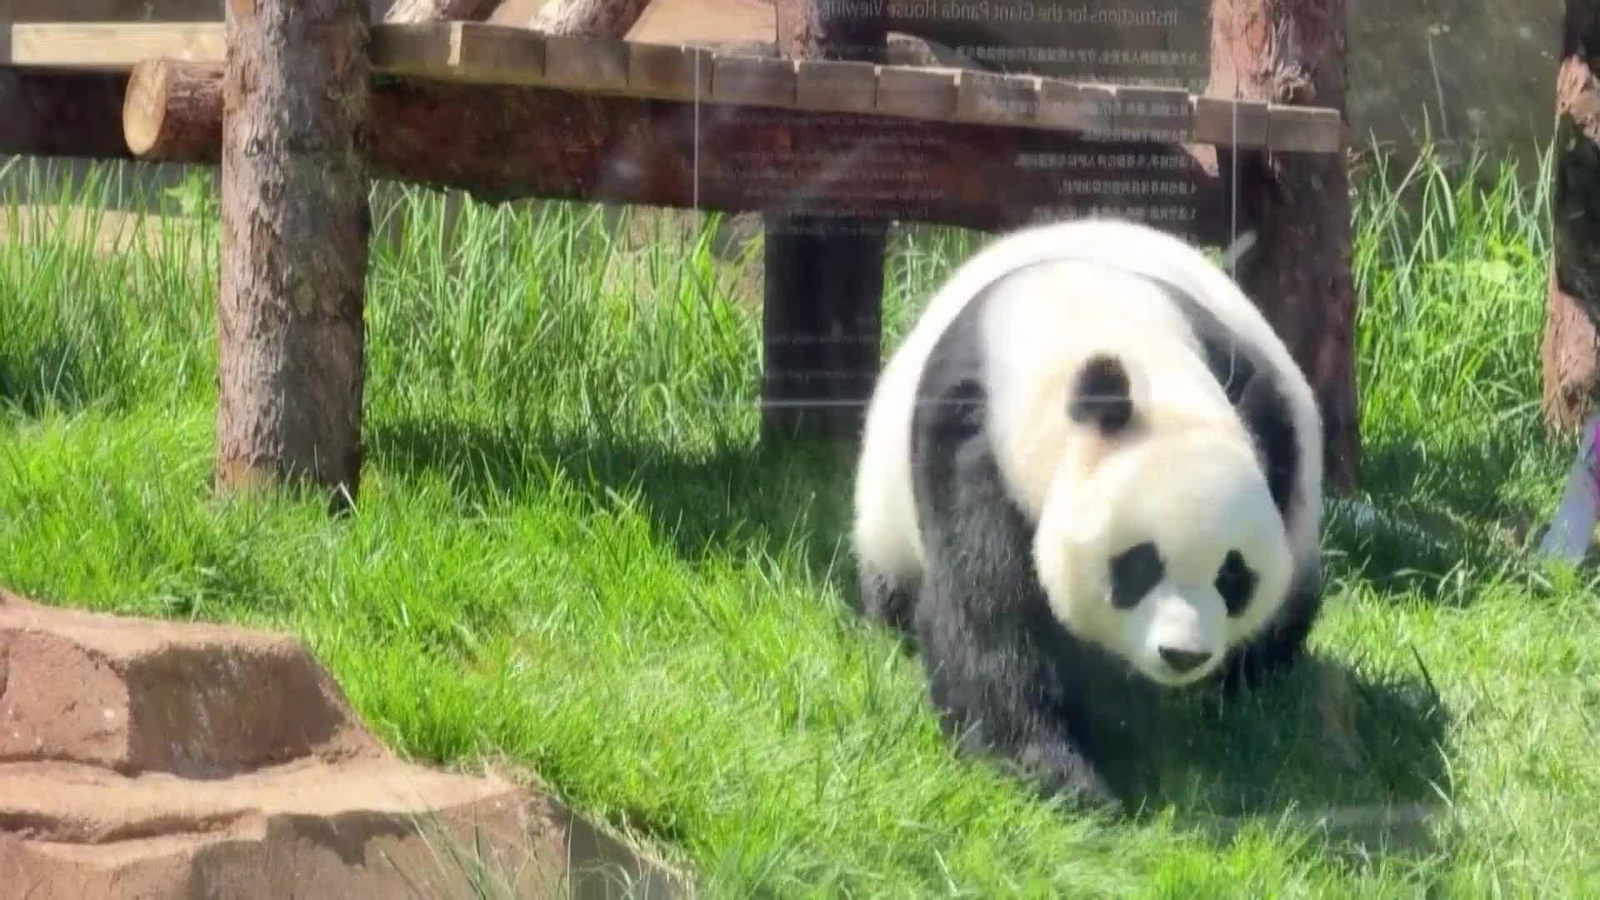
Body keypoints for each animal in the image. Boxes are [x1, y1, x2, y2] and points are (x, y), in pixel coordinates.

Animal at [849, 216, 1325, 810]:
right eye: (1138, 566)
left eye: (1232, 576)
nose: (1183, 655)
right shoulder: (969, 441)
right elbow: (985, 618)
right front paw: (1062, 777)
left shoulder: (1265, 423)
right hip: (884, 517)